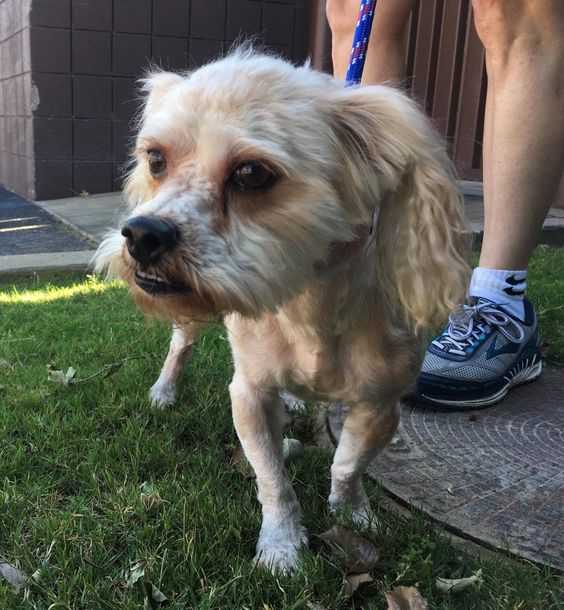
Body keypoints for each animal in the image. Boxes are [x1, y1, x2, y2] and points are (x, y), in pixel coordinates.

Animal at [94, 50, 470, 572]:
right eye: (155, 159)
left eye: (252, 174)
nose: (142, 234)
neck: (307, 304)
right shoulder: (249, 395)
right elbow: (273, 480)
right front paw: (282, 545)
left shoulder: (380, 405)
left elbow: (347, 463)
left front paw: (352, 511)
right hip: (190, 319)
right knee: (179, 348)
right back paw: (165, 390)